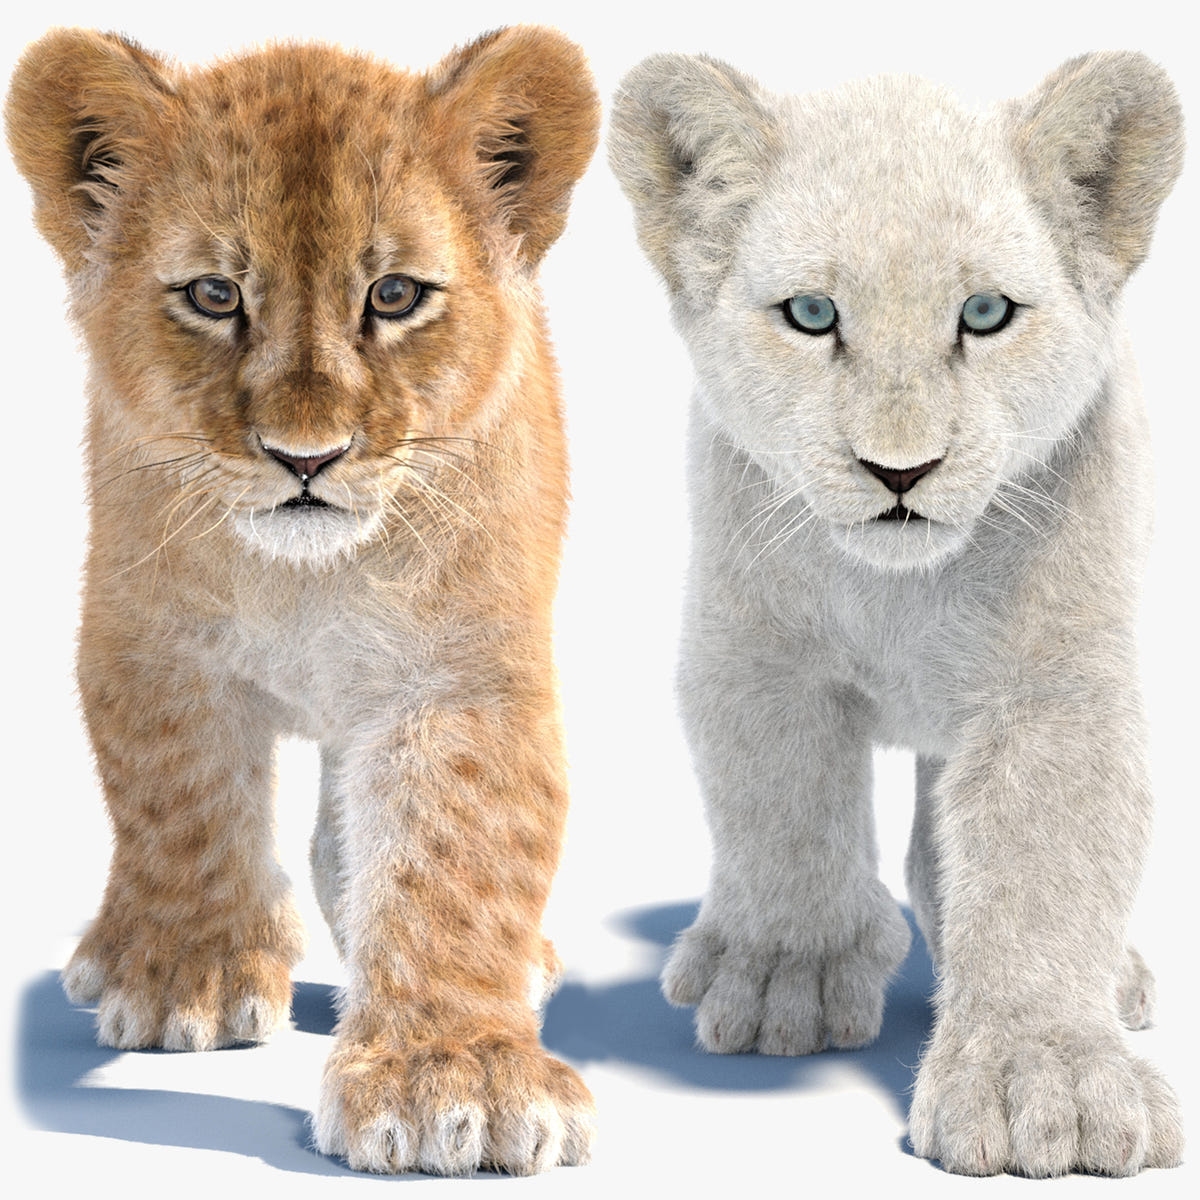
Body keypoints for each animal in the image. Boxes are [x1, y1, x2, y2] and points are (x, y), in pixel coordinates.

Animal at [6, 26, 598, 1175]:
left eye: (396, 296)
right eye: (214, 296)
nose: (305, 457)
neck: (308, 582)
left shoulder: (461, 674)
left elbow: (457, 852)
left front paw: (454, 1080)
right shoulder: (150, 643)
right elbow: (180, 803)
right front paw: (186, 978)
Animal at [609, 51, 1183, 1176]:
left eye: (986, 314)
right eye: (812, 315)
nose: (900, 470)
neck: (900, 594)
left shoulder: (1053, 693)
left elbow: (1045, 865)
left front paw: (1044, 1080)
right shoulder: (755, 655)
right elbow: (780, 807)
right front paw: (782, 976)